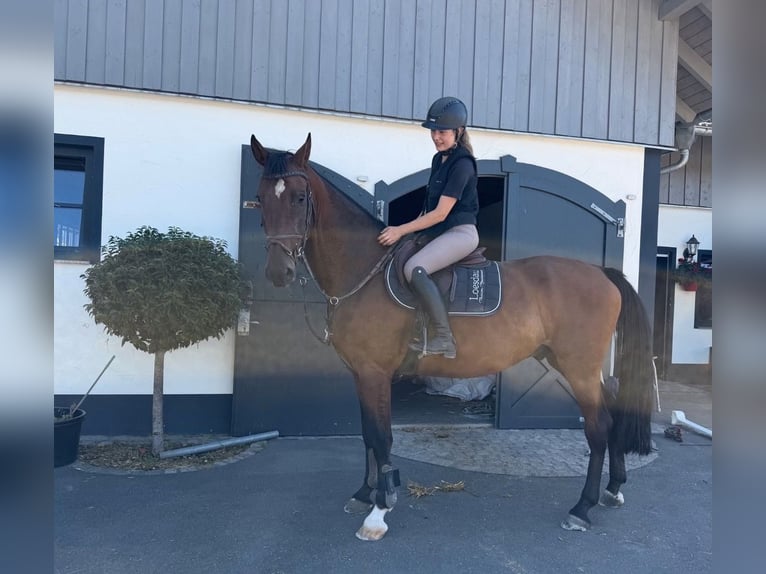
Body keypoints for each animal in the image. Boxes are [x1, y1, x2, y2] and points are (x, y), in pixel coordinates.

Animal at [248, 132, 655, 541]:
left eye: (300, 197)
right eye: (261, 196)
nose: (279, 272)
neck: (364, 270)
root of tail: (602, 273)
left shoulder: (375, 373)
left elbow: (381, 437)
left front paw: (379, 511)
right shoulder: (360, 374)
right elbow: (367, 434)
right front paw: (364, 494)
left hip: (578, 367)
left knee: (598, 425)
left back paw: (582, 508)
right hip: (563, 361)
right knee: (613, 408)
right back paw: (613, 489)